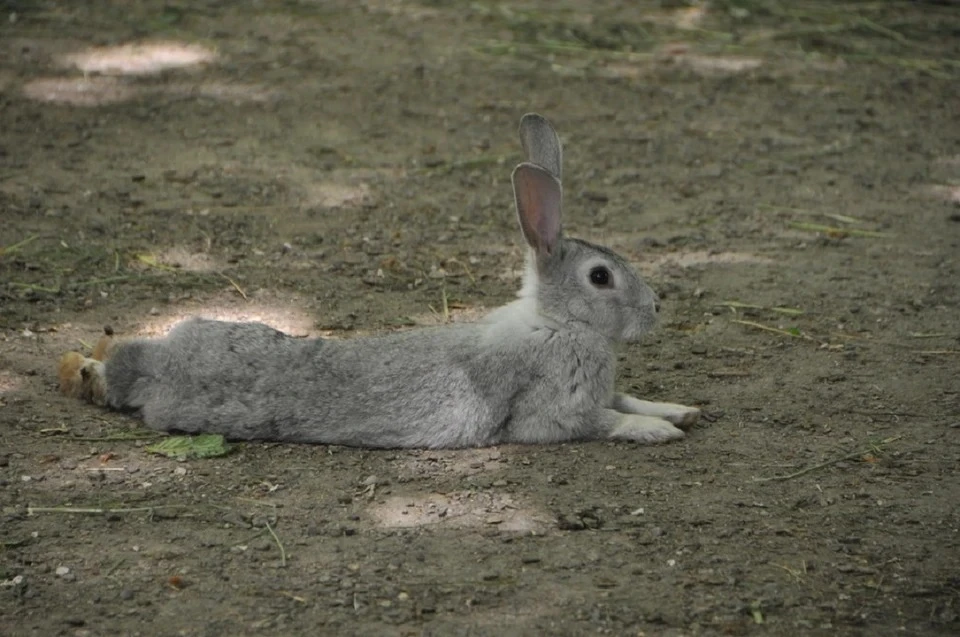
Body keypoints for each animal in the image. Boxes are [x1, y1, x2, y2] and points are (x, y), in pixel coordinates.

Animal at [60, 113, 700, 448]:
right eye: (601, 277)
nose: (656, 309)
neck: (557, 323)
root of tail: (154, 365)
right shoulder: (554, 412)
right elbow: (604, 419)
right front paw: (656, 430)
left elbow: (627, 395)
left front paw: (680, 410)